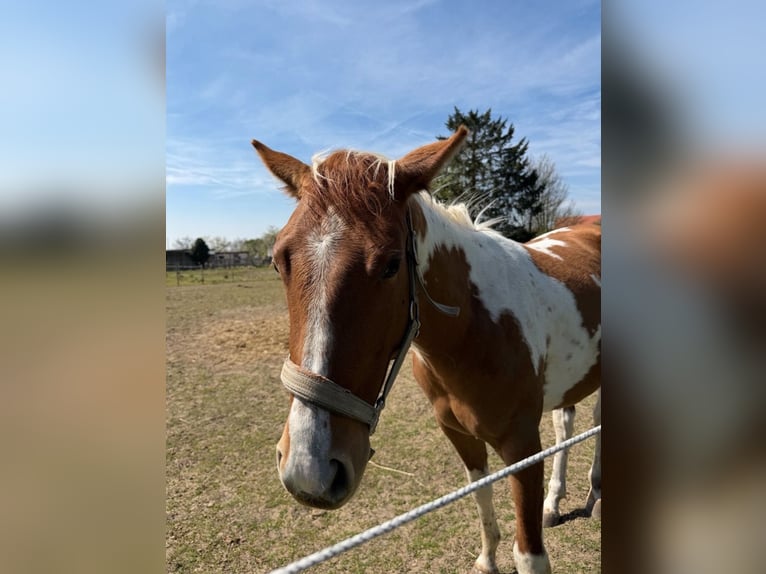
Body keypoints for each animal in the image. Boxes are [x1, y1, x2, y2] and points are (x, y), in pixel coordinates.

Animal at [251, 126, 601, 574]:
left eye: (391, 264)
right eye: (279, 260)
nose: (309, 470)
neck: (476, 327)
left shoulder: (523, 446)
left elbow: (529, 554)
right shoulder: (458, 433)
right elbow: (479, 494)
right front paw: (487, 558)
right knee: (566, 423)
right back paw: (556, 503)